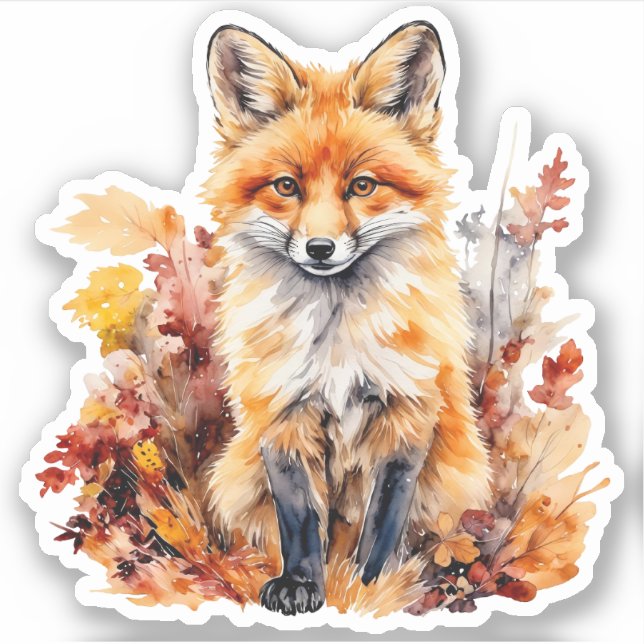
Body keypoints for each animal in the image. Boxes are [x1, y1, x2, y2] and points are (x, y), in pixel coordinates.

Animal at [199, 21, 491, 615]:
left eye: (362, 185)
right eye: (287, 186)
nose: (320, 248)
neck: (336, 343)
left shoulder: (409, 414)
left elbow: (382, 521)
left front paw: (367, 588)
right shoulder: (281, 413)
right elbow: (300, 521)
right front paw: (302, 585)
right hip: (235, 479)